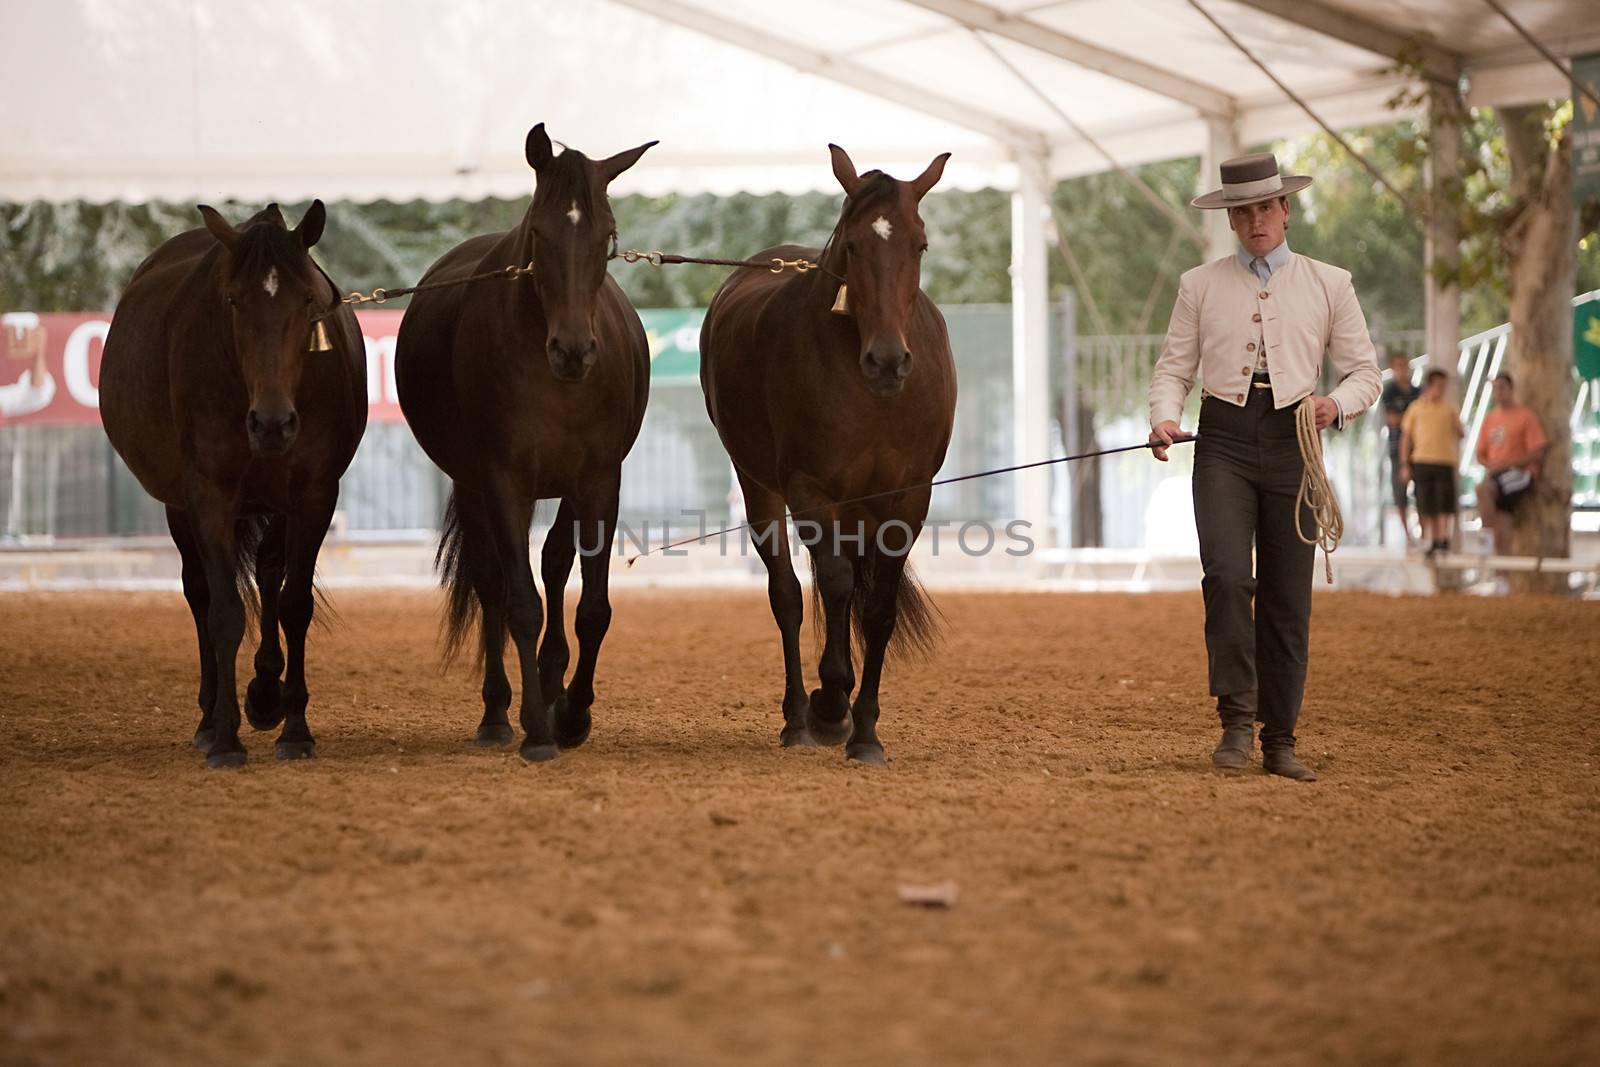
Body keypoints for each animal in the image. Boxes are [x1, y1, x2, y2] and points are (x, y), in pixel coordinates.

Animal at [101, 199, 369, 767]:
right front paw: (225, 737)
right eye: (231, 299)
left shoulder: (313, 495)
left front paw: (294, 728)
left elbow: (293, 603)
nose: (272, 423)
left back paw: (266, 695)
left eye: (308, 299)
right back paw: (210, 718)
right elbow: (223, 611)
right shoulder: (208, 495)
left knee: (268, 575)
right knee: (199, 592)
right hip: (179, 507)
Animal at [393, 123, 649, 758]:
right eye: (539, 232)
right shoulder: (503, 480)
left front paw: (574, 713)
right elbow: (521, 604)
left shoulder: (599, 481)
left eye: (608, 236)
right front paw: (536, 726)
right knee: (492, 584)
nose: (573, 351)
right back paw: (497, 714)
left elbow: (592, 607)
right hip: (473, 485)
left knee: (554, 564)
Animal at [697, 146, 947, 764]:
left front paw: (867, 731)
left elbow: (877, 606)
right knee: (787, 594)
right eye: (853, 245)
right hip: (760, 485)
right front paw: (831, 704)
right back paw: (797, 716)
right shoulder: (811, 491)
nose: (888, 361)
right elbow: (831, 584)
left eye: (920, 244)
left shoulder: (909, 500)